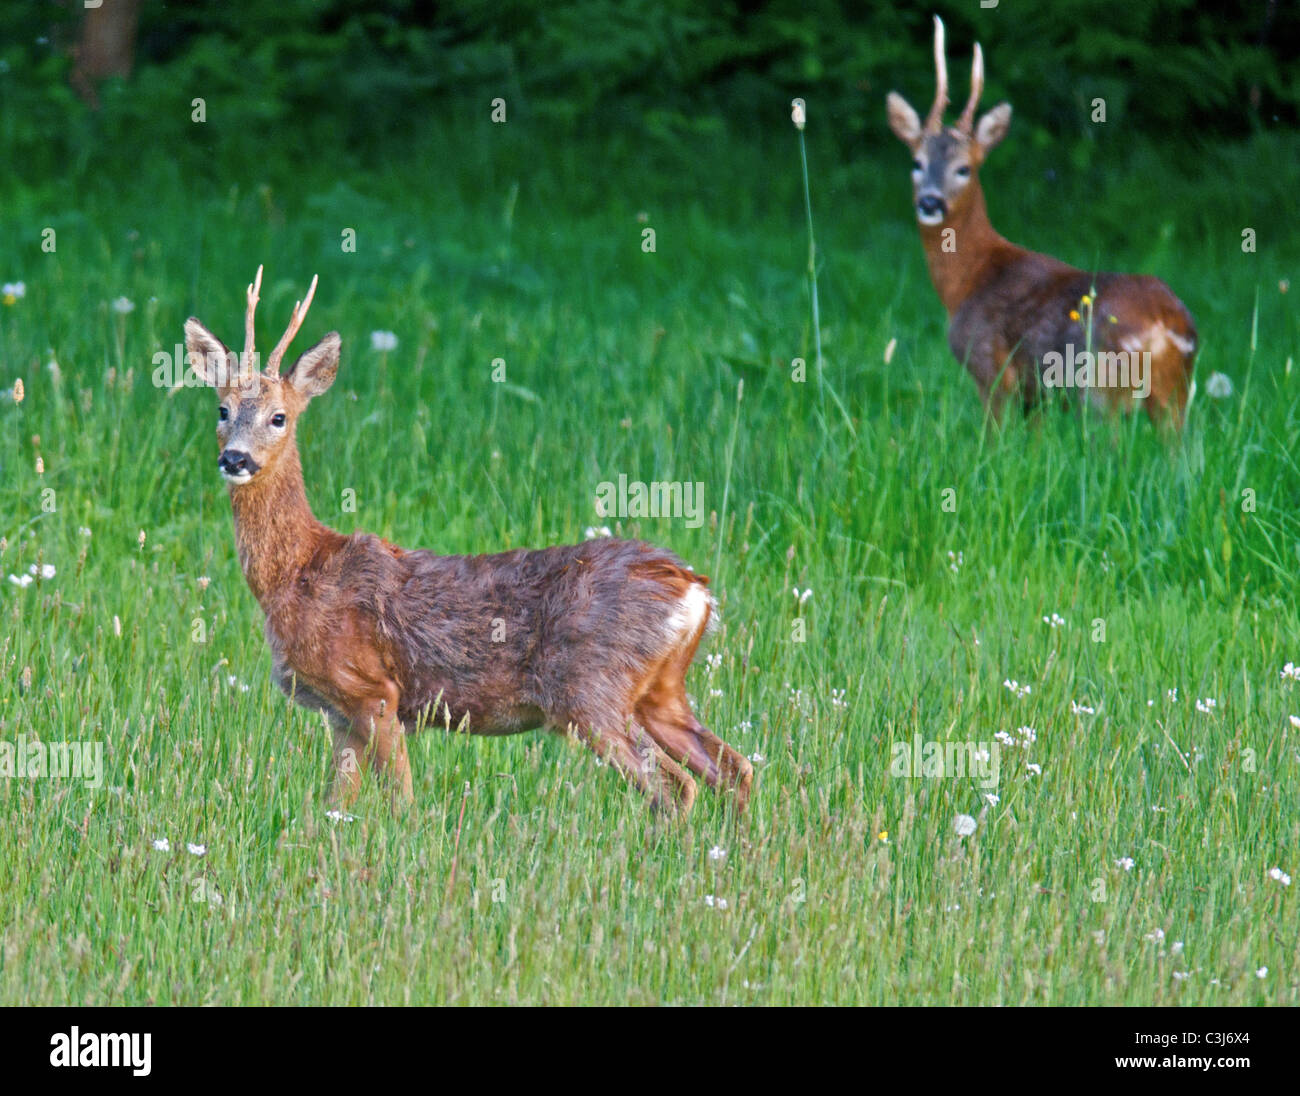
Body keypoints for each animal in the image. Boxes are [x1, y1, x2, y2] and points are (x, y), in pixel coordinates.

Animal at [184, 265, 754, 816]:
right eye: (222, 410)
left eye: (278, 417)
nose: (235, 459)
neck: (299, 571)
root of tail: (693, 590)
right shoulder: (340, 712)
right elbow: (332, 806)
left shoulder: (374, 691)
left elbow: (403, 802)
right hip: (660, 693)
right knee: (735, 769)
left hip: (591, 691)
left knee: (677, 787)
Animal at [889, 18, 1190, 429]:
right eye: (916, 163)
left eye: (964, 168)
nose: (930, 202)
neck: (969, 279)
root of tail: (1167, 324)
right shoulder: (1037, 396)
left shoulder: (990, 369)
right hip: (1174, 399)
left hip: (1102, 388)